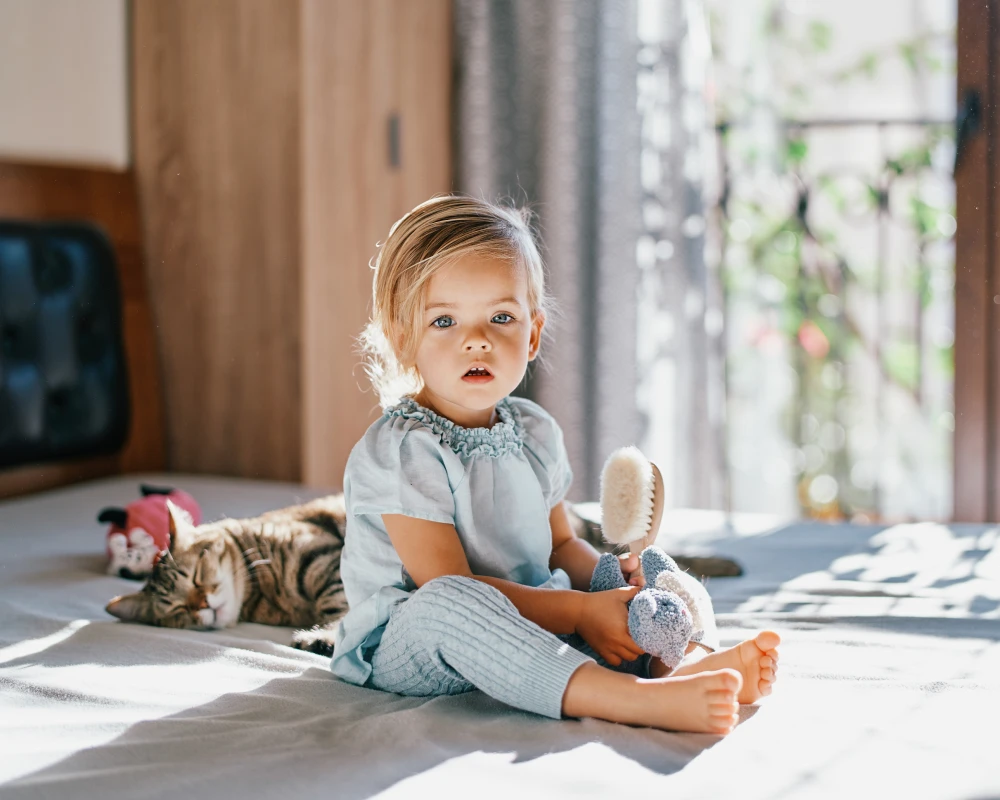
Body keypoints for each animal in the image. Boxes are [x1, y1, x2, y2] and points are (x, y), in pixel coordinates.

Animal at [105, 494, 348, 656]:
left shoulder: (324, 559)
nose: (203, 605)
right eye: (178, 609)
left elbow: (339, 605)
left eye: (196, 576)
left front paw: (324, 637)